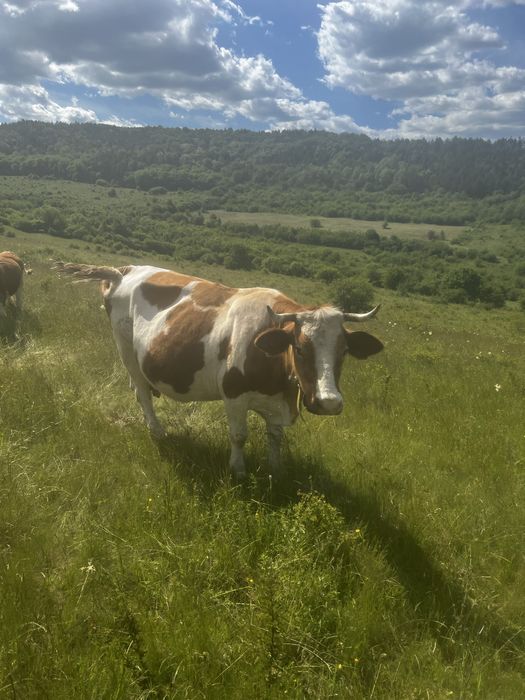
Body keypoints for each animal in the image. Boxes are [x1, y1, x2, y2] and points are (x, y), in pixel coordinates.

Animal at [56, 262, 383, 478]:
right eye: (300, 349)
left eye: (344, 352)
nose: (329, 403)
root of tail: (123, 270)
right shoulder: (234, 395)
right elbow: (238, 435)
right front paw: (237, 470)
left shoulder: (277, 403)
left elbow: (275, 438)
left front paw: (276, 469)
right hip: (127, 352)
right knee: (142, 394)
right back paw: (157, 431)